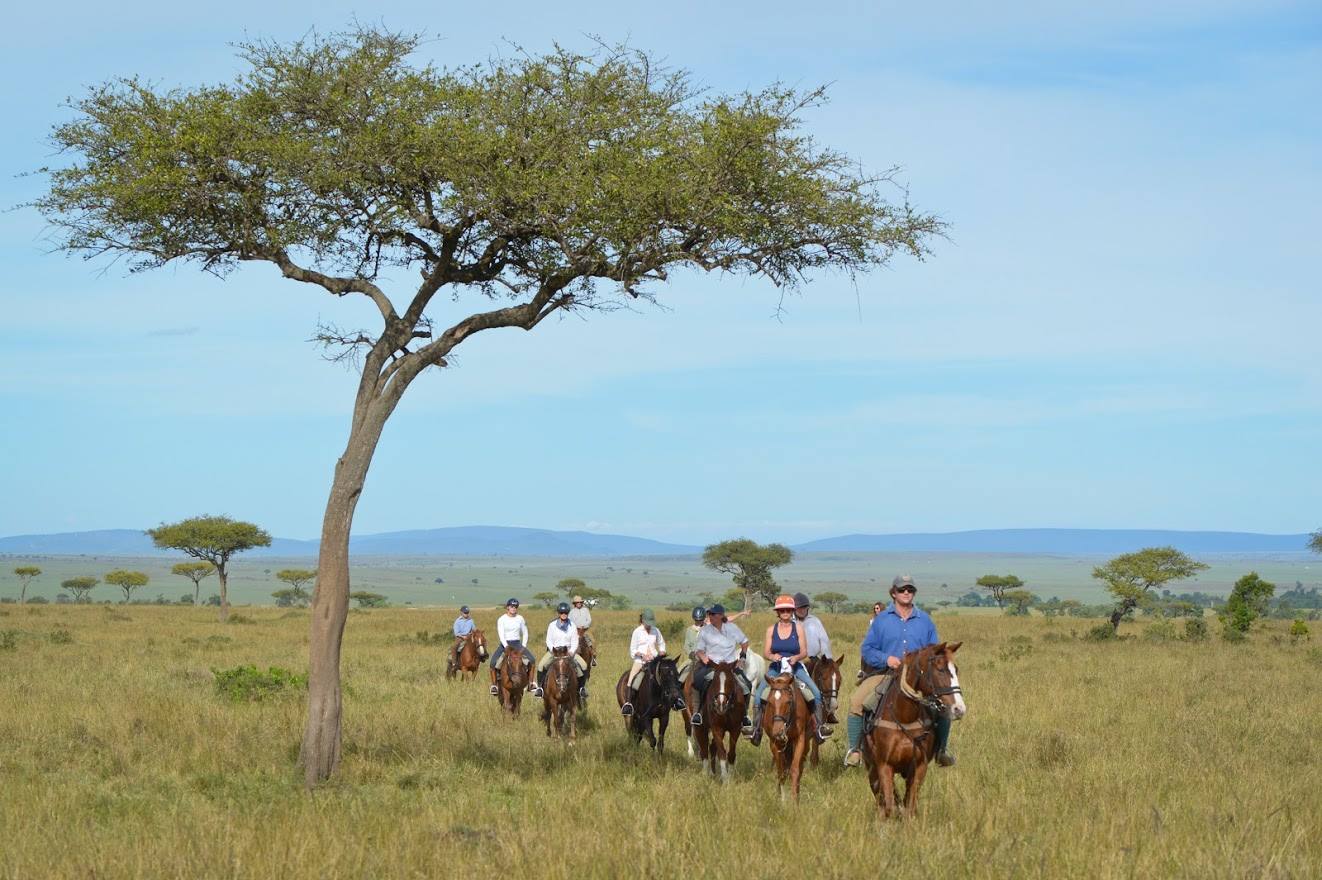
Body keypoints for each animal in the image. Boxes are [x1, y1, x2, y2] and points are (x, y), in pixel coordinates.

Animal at [762, 668, 811, 801]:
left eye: (788, 702)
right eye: (769, 702)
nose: (778, 731)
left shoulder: (800, 740)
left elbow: (795, 770)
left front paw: (794, 799)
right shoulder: (774, 743)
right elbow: (781, 771)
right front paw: (782, 798)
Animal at [862, 642, 965, 819]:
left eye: (956, 669)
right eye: (940, 669)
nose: (959, 709)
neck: (905, 717)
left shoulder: (919, 767)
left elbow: (909, 806)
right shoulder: (884, 766)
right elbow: (889, 805)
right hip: (871, 768)